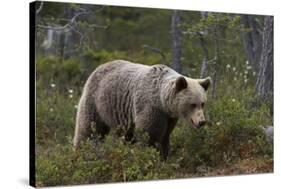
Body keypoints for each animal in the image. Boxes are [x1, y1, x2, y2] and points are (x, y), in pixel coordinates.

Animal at [73, 59, 209, 159]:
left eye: (202, 103)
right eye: (192, 104)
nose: (202, 121)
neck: (162, 101)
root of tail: (99, 67)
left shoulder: (169, 117)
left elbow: (165, 136)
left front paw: (164, 156)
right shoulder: (150, 107)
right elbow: (149, 135)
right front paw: (148, 155)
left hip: (121, 115)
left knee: (125, 135)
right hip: (96, 101)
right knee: (89, 129)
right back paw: (81, 153)